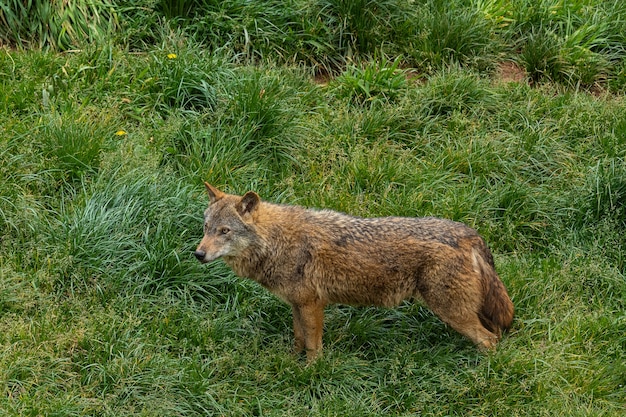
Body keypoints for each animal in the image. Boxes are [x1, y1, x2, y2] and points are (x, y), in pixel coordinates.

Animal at [195, 184, 512, 360]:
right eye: (206, 228)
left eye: (225, 231)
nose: (198, 254)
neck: (277, 241)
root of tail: (470, 235)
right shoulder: (298, 304)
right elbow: (298, 339)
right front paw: (289, 362)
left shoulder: (312, 304)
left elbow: (313, 346)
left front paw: (310, 372)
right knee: (495, 334)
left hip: (452, 312)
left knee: (490, 341)